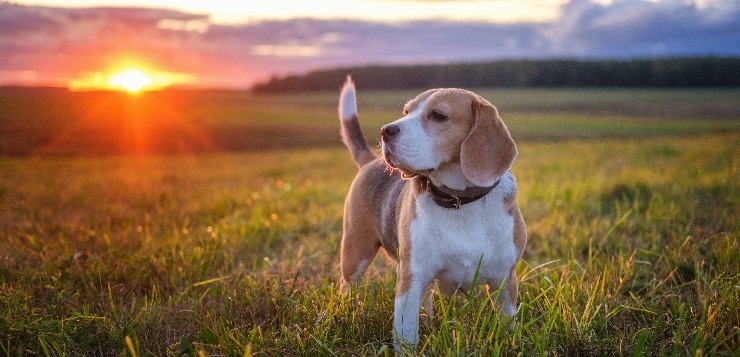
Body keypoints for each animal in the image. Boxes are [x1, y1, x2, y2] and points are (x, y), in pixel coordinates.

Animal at [336, 76, 528, 348]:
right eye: (406, 112)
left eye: (438, 116)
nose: (385, 131)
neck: (460, 201)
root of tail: (370, 160)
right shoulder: (412, 275)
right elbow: (406, 330)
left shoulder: (505, 281)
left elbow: (507, 324)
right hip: (355, 253)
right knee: (345, 287)